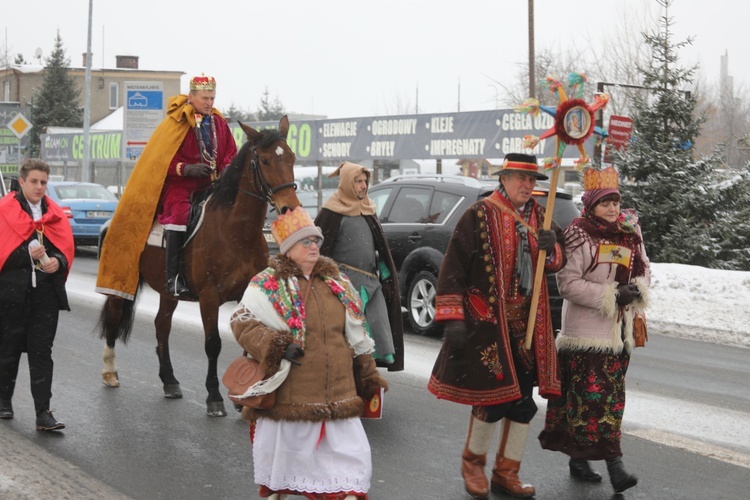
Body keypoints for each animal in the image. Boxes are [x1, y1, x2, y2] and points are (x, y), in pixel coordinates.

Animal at [98, 115, 302, 416]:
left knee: (162, 325)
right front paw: (215, 397)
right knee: (114, 317)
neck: (235, 231)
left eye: (291, 157)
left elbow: (248, 338)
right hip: (121, 281)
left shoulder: (245, 295)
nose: (289, 207)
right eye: (264, 160)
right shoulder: (209, 296)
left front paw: (244, 396)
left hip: (167, 291)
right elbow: (213, 344)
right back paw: (110, 371)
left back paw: (169, 381)